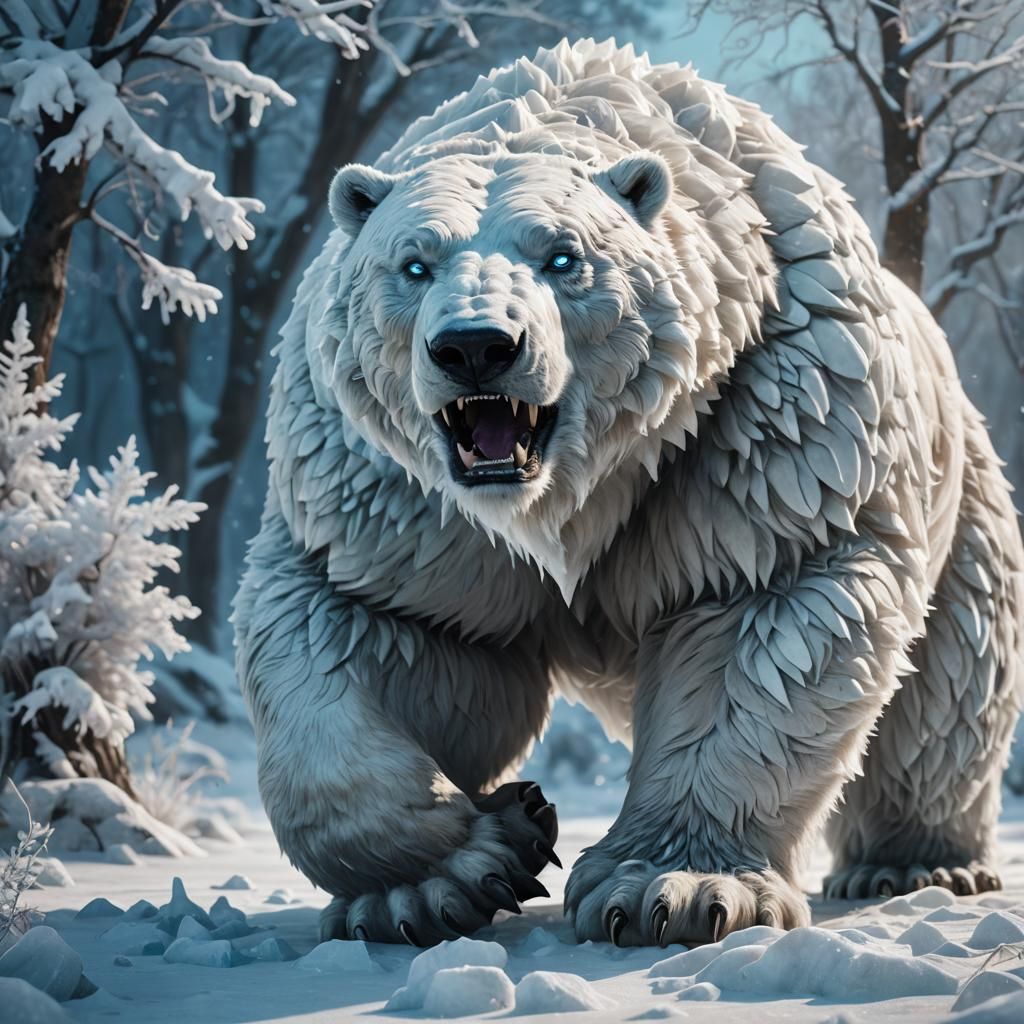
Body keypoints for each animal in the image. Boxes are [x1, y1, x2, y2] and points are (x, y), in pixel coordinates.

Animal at [233, 38, 1024, 947]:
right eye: (414, 263)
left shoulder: (759, 427)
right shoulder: (398, 503)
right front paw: (450, 874)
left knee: (946, 697)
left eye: (563, 256)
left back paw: (915, 864)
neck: (568, 494)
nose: (475, 346)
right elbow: (378, 635)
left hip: (960, 498)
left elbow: (756, 620)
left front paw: (671, 891)